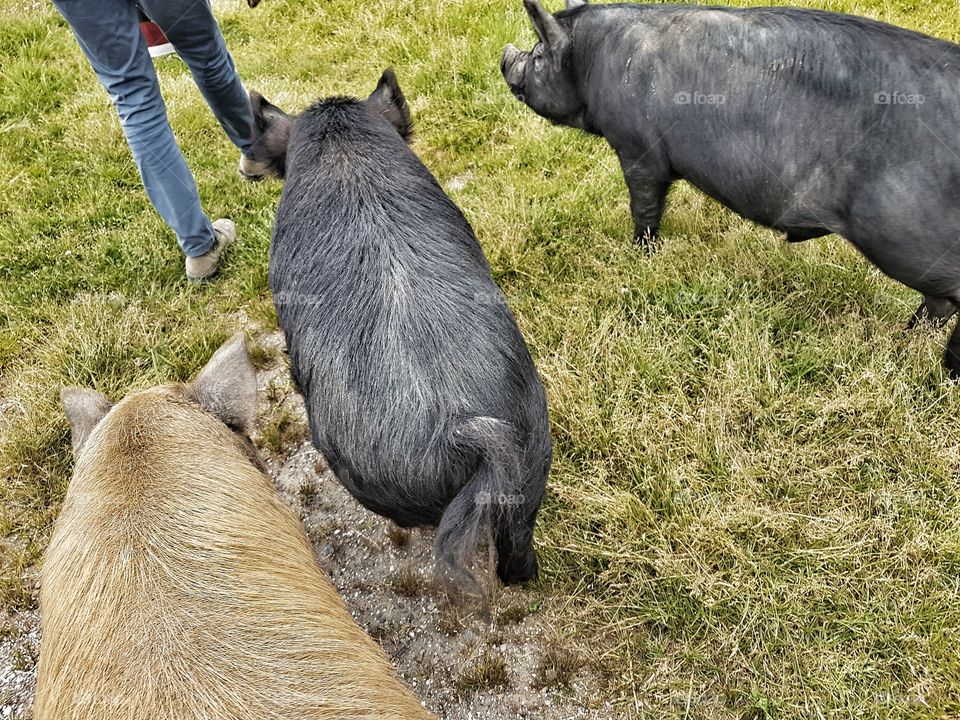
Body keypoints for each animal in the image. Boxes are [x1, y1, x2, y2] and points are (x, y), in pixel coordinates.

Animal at [502, 0, 960, 376]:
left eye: (539, 54)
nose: (506, 56)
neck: (592, 59)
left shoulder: (637, 149)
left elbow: (644, 207)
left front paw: (641, 255)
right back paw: (907, 343)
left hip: (905, 238)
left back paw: (940, 370)